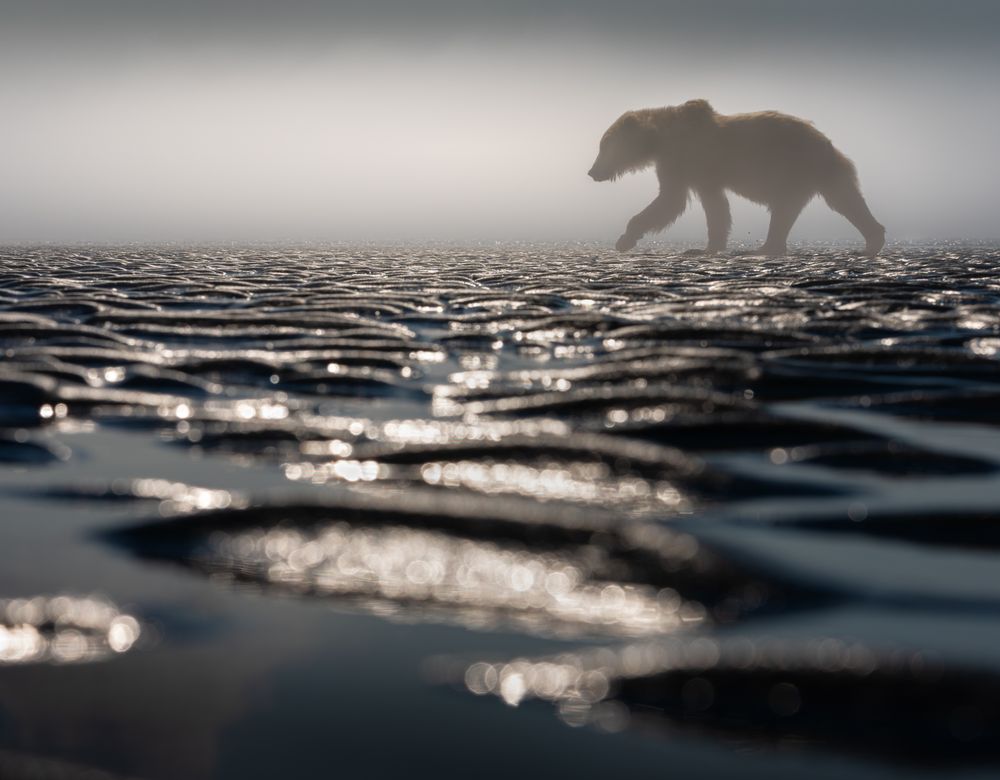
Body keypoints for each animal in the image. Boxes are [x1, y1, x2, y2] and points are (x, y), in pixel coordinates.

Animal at [588, 99, 885, 257]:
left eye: (603, 146)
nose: (592, 172)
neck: (660, 140)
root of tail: (828, 143)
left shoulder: (687, 160)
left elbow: (670, 202)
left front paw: (624, 239)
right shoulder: (698, 172)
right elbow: (714, 208)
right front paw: (710, 246)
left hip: (792, 167)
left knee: (787, 209)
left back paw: (763, 248)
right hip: (821, 173)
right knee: (846, 200)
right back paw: (873, 238)